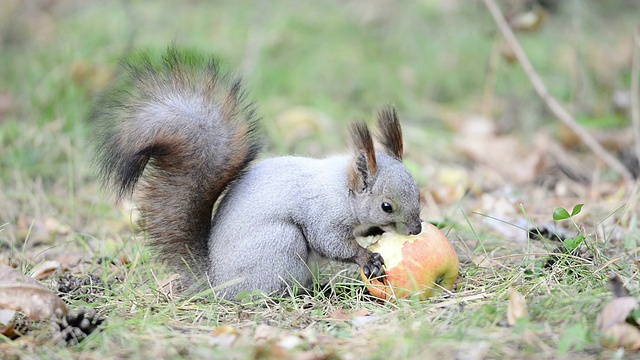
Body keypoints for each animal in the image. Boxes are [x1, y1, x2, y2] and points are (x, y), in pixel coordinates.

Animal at [86, 47, 424, 300]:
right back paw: (317, 291)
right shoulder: (322, 214)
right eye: (386, 206)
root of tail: (217, 282)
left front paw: (374, 235)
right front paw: (366, 257)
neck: (343, 187)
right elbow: (331, 243)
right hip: (280, 247)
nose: (417, 229)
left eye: (418, 192)